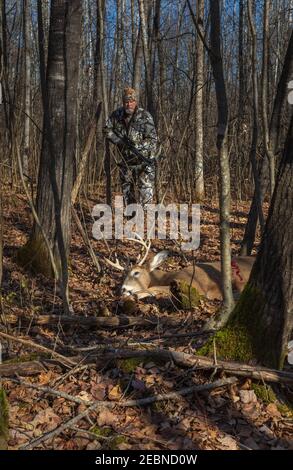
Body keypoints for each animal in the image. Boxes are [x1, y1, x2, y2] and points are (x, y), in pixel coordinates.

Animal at [101, 239, 254, 302]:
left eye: (136, 272)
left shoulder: (191, 285)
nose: (123, 289)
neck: (163, 277)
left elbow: (152, 289)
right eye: (123, 275)